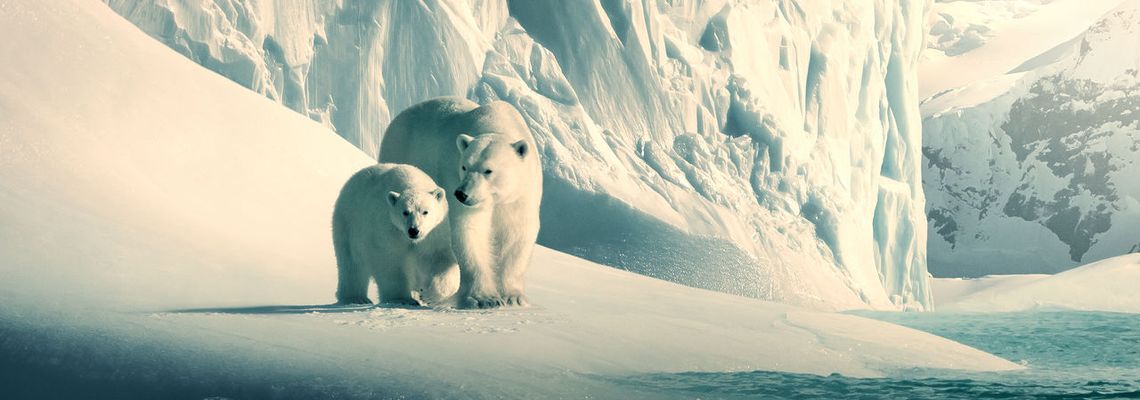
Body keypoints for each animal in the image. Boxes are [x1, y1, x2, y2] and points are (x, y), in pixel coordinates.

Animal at [330, 162, 458, 307]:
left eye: (425, 211)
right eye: (405, 212)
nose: (414, 230)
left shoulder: (433, 233)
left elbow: (438, 257)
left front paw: (428, 294)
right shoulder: (388, 228)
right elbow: (390, 260)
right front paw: (401, 299)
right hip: (348, 223)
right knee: (351, 263)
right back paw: (355, 298)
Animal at [378, 98, 542, 309]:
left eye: (488, 170)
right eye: (464, 166)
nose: (461, 194)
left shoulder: (521, 194)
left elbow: (516, 234)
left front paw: (514, 297)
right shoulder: (453, 178)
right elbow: (469, 231)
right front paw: (484, 299)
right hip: (401, 152)